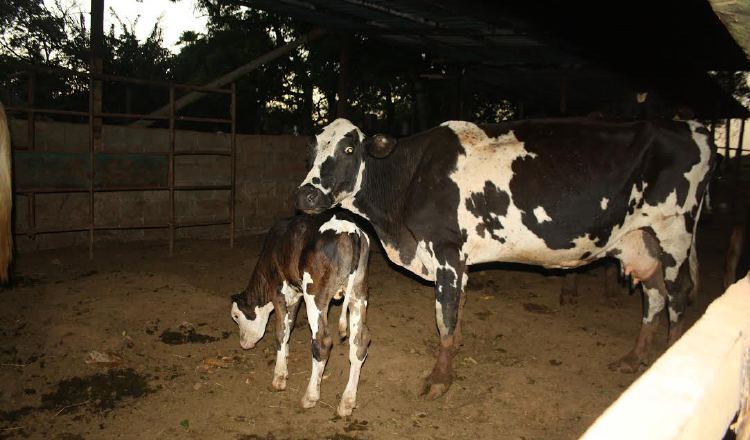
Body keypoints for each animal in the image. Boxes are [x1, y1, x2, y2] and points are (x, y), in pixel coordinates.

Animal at [229, 211, 370, 418]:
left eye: (236, 316)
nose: (243, 344)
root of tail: (351, 230)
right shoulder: (295, 295)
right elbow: (289, 325)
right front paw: (285, 356)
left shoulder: (278, 291)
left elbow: (280, 332)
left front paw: (279, 377)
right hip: (358, 294)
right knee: (359, 342)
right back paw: (346, 403)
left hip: (315, 295)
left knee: (322, 342)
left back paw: (310, 397)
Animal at [296, 117, 720, 398]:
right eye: (313, 151)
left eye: (348, 149)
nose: (306, 195)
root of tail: (693, 127)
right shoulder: (459, 259)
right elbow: (457, 316)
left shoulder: (447, 251)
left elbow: (445, 318)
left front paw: (439, 379)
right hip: (641, 239)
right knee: (654, 295)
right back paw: (635, 358)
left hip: (674, 233)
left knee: (676, 296)